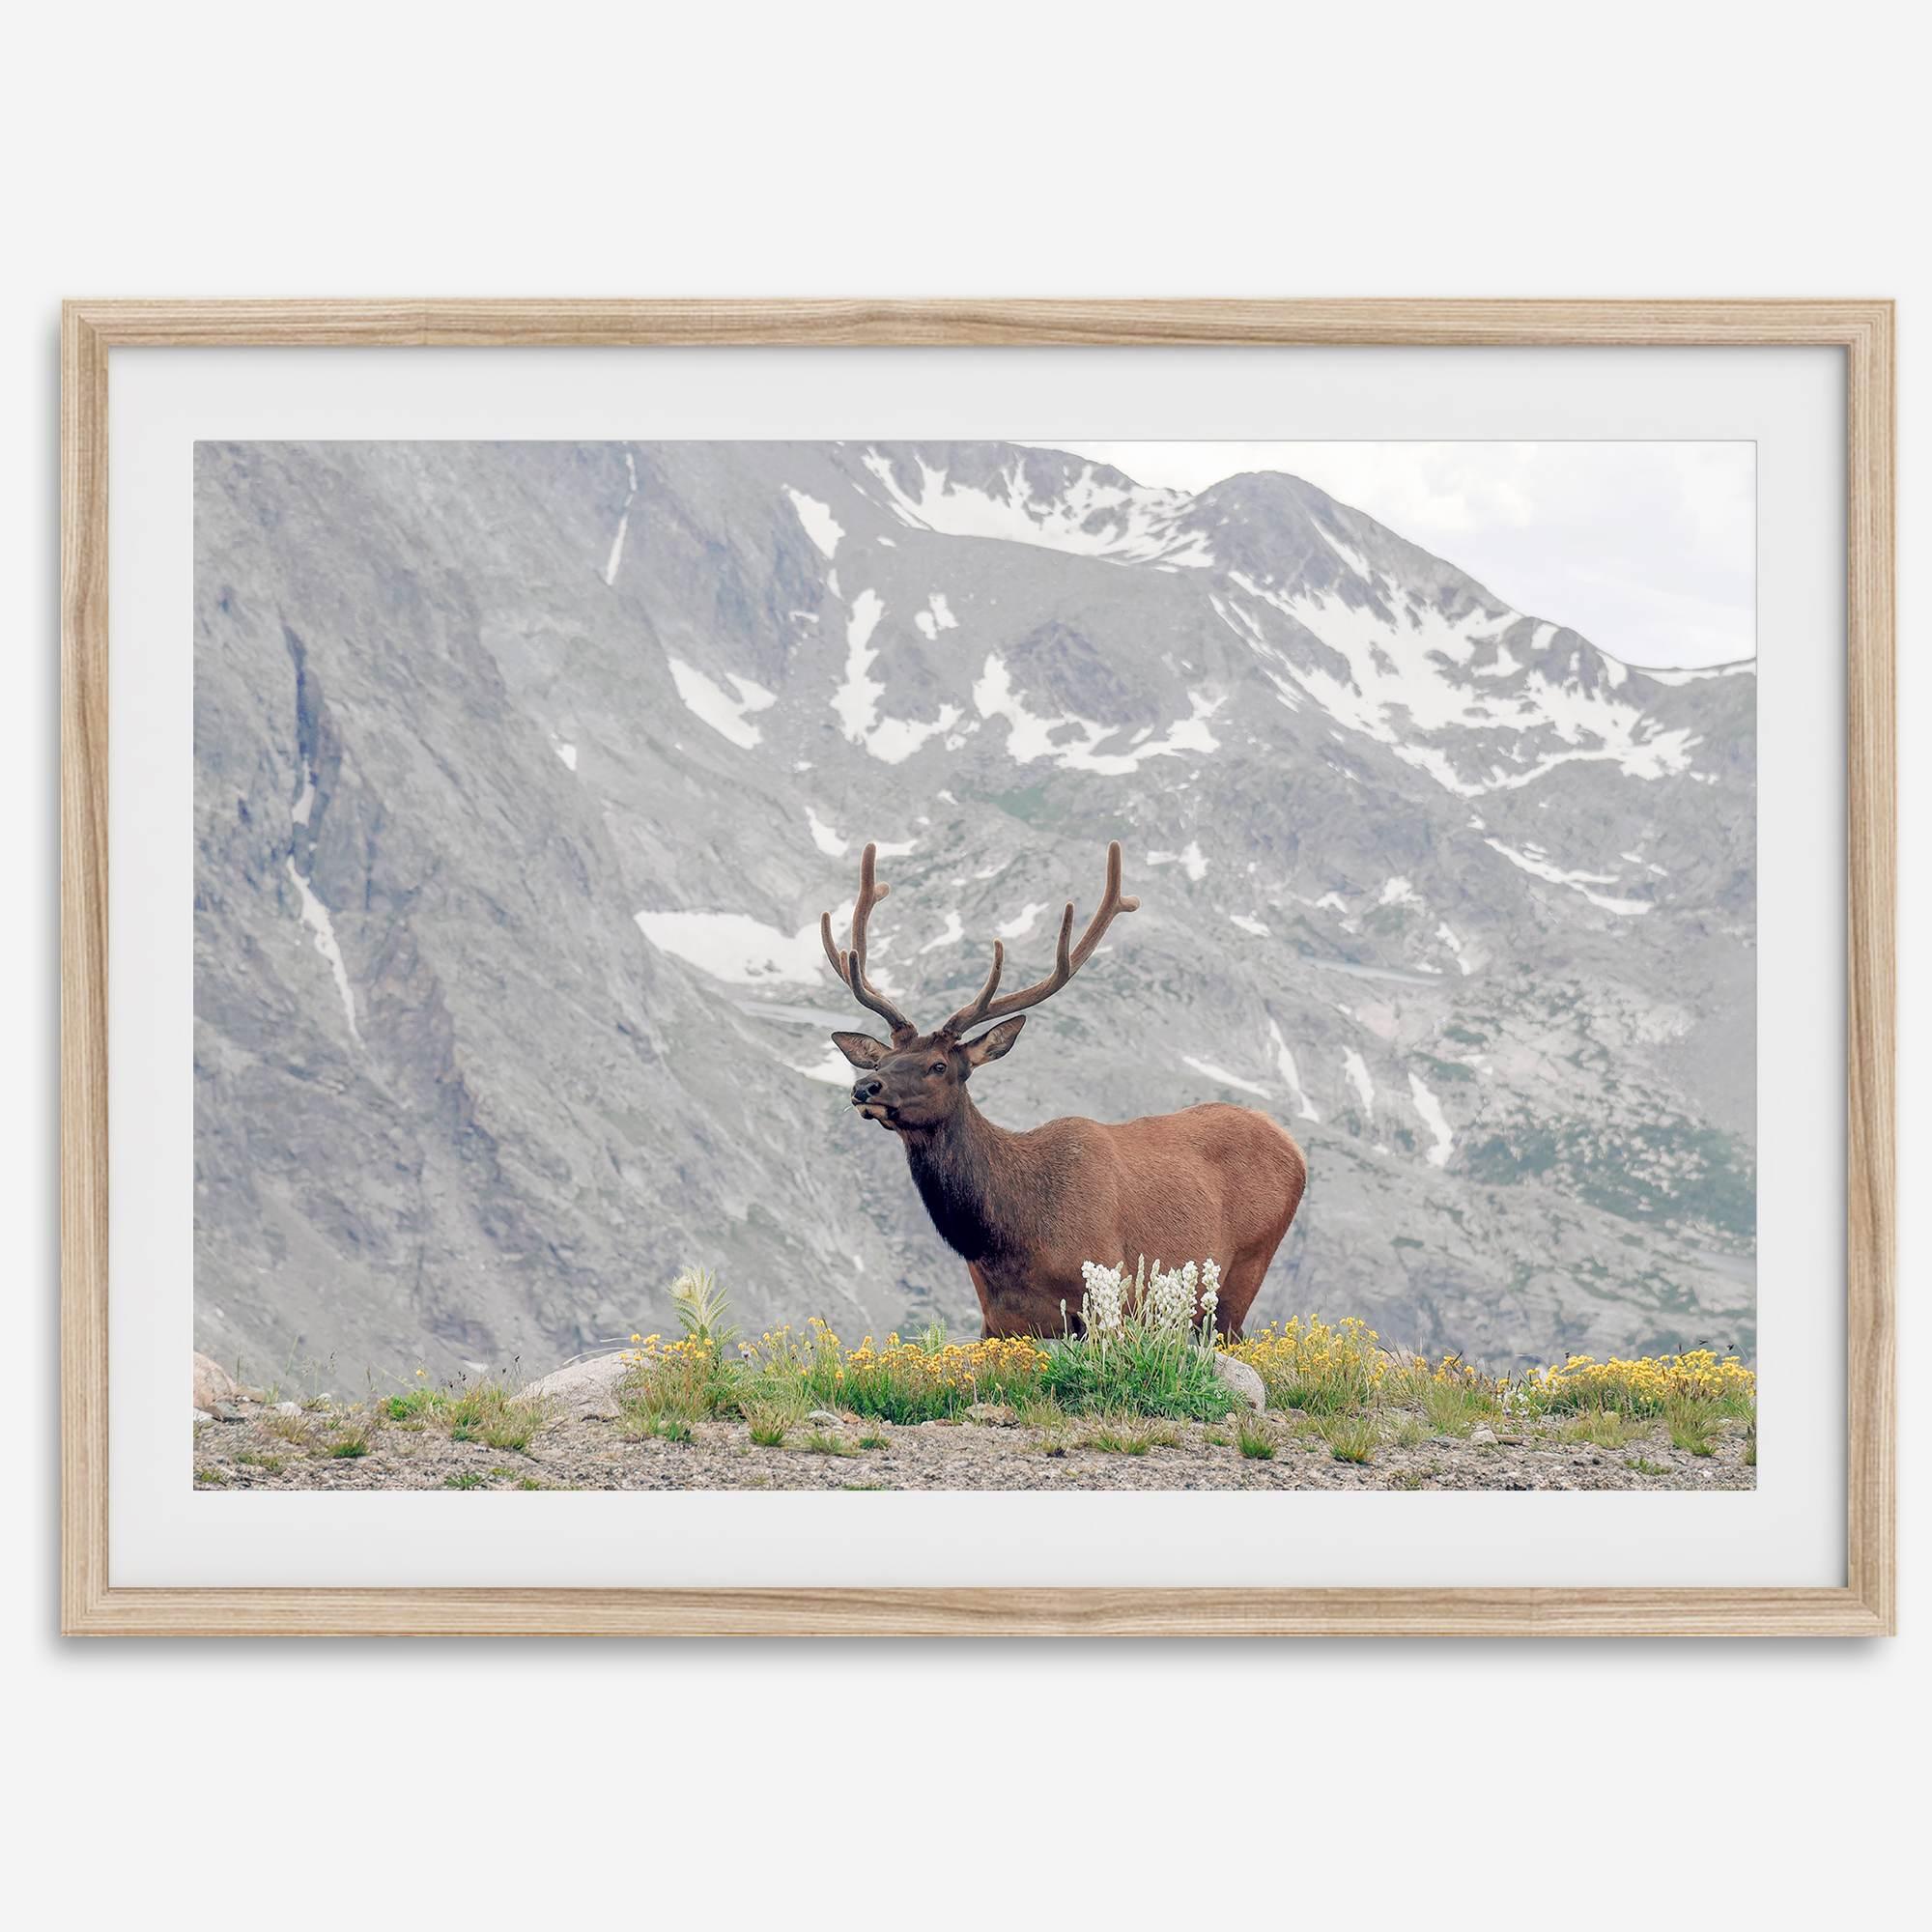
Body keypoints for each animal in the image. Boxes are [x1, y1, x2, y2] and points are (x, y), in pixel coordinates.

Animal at [822, 840, 1307, 1338]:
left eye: (938, 1066)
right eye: (880, 1061)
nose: (865, 1087)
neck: (1008, 1238)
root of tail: (1293, 1146)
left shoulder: (1110, 1293)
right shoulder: (997, 1320)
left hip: (1245, 1270)